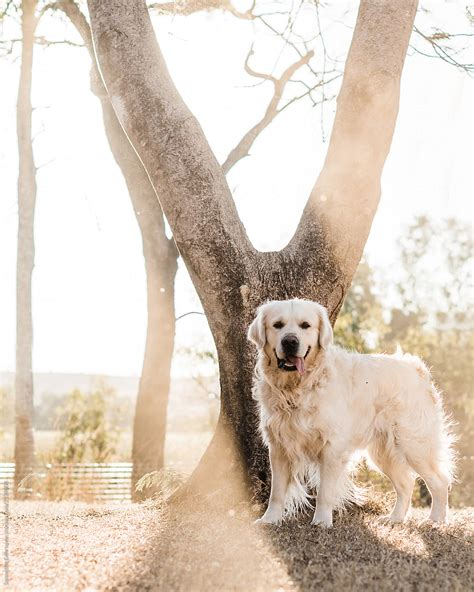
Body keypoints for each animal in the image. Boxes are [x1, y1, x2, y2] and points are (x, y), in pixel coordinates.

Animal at [248, 300, 456, 528]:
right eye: (278, 325)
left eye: (305, 325)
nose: (290, 342)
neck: (299, 388)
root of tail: (416, 368)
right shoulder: (279, 446)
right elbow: (276, 492)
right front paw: (269, 520)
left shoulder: (332, 447)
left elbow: (324, 492)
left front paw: (321, 522)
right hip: (383, 452)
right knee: (406, 483)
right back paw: (394, 518)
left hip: (414, 444)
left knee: (439, 481)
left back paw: (435, 520)